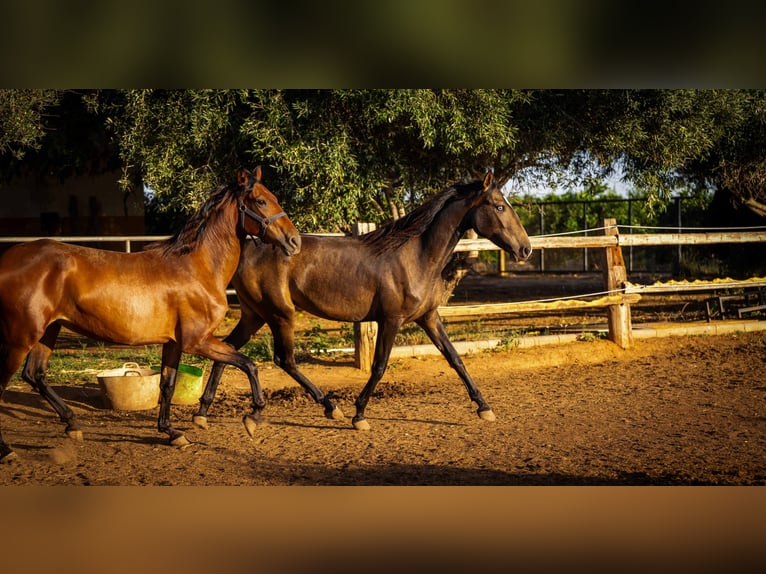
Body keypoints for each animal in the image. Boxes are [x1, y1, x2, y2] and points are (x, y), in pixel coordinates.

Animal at [0, 167, 300, 462]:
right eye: (261, 201)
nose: (294, 241)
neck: (197, 268)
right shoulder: (198, 341)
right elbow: (249, 364)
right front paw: (253, 418)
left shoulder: (174, 343)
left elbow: (167, 385)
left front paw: (173, 433)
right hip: (21, 338)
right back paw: (7, 451)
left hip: (48, 330)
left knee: (35, 374)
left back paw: (73, 424)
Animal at [193, 171, 532, 431]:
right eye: (499, 207)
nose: (525, 249)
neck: (415, 256)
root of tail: (247, 248)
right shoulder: (391, 320)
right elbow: (379, 366)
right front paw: (359, 415)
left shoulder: (429, 317)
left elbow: (455, 359)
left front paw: (484, 407)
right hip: (279, 314)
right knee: (283, 360)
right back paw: (329, 408)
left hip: (255, 314)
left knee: (229, 349)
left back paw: (202, 413)